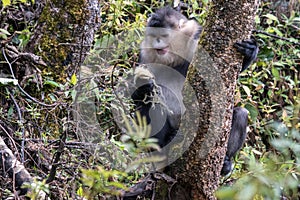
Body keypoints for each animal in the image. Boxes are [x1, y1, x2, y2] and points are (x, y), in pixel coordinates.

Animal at [131, 6, 258, 174]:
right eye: (153, 36)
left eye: (163, 35)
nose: (157, 43)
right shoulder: (145, 53)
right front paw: (143, 86)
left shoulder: (197, 39)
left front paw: (250, 52)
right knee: (153, 101)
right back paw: (163, 148)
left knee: (241, 113)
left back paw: (225, 163)